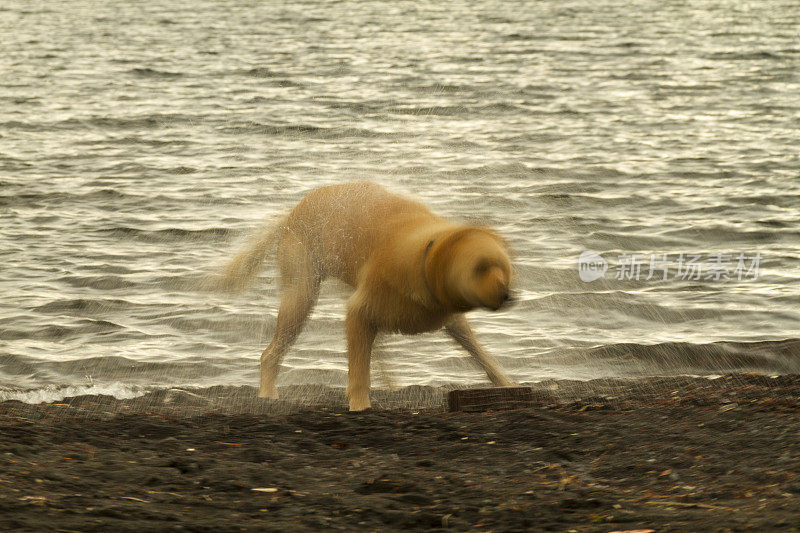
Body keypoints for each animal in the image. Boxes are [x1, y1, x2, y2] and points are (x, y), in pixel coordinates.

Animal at [209, 181, 516, 410]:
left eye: (504, 266)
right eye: (480, 268)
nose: (508, 296)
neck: (422, 256)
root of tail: (292, 211)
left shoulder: (449, 318)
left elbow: (480, 353)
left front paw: (506, 384)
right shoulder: (359, 311)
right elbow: (358, 371)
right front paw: (359, 404)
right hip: (301, 293)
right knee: (271, 352)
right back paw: (268, 393)